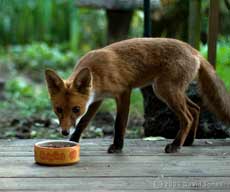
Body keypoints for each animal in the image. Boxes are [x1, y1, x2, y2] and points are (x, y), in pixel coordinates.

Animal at [45, 38, 230, 154]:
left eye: (75, 109)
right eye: (58, 110)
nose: (64, 132)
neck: (97, 73)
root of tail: (194, 49)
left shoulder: (123, 91)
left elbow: (119, 123)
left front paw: (117, 146)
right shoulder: (96, 99)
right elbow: (84, 122)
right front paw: (73, 140)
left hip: (164, 90)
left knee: (188, 117)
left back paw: (176, 145)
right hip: (170, 91)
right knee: (196, 109)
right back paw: (189, 141)